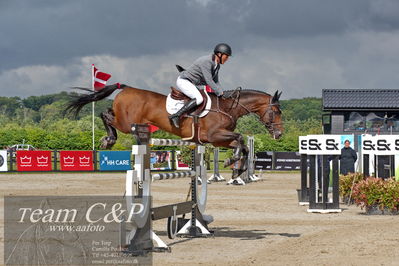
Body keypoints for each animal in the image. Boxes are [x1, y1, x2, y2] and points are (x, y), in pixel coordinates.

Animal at [65, 83, 282, 179]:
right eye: (276, 112)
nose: (279, 135)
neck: (228, 108)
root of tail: (125, 88)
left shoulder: (219, 140)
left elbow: (244, 145)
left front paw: (238, 168)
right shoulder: (214, 136)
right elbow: (241, 138)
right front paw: (232, 162)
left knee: (107, 113)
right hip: (126, 123)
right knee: (105, 115)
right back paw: (108, 139)